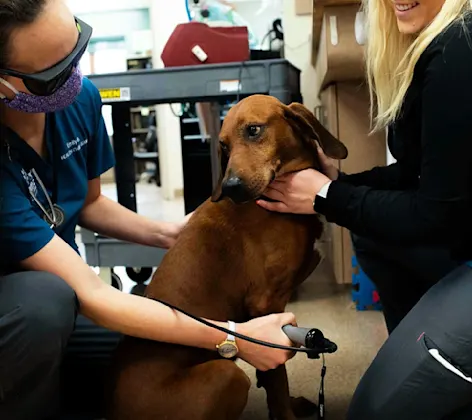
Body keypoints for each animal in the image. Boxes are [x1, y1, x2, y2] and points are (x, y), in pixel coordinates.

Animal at [106, 95, 346, 420]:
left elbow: (272, 381)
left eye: (253, 130)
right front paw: (286, 413)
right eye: (224, 146)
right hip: (228, 375)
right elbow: (277, 378)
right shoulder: (265, 306)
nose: (231, 187)